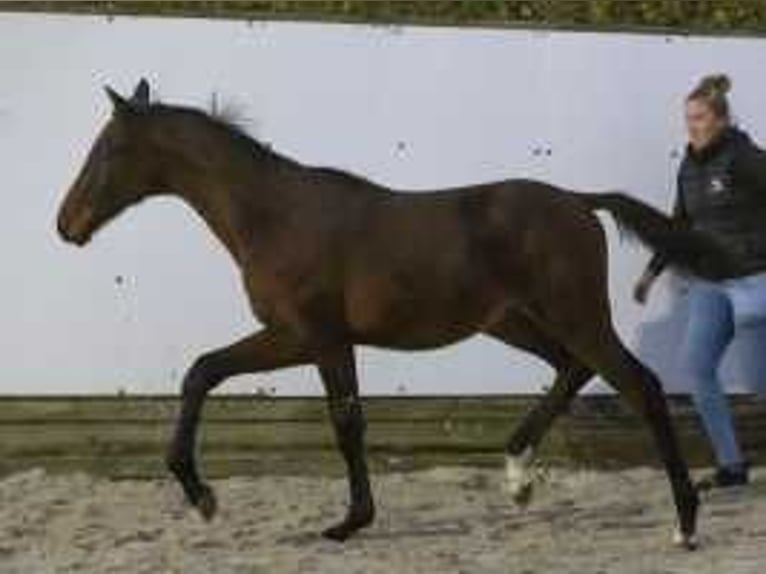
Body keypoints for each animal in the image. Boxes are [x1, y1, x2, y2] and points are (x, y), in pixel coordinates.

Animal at [57, 79, 736, 548]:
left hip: (574, 315)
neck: (276, 216)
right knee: (571, 370)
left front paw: (331, 520)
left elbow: (327, 417)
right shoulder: (315, 340)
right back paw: (517, 475)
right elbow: (223, 378)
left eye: (109, 149)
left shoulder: (309, 335)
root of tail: (576, 201)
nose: (66, 224)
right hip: (514, 321)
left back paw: (685, 524)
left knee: (641, 386)